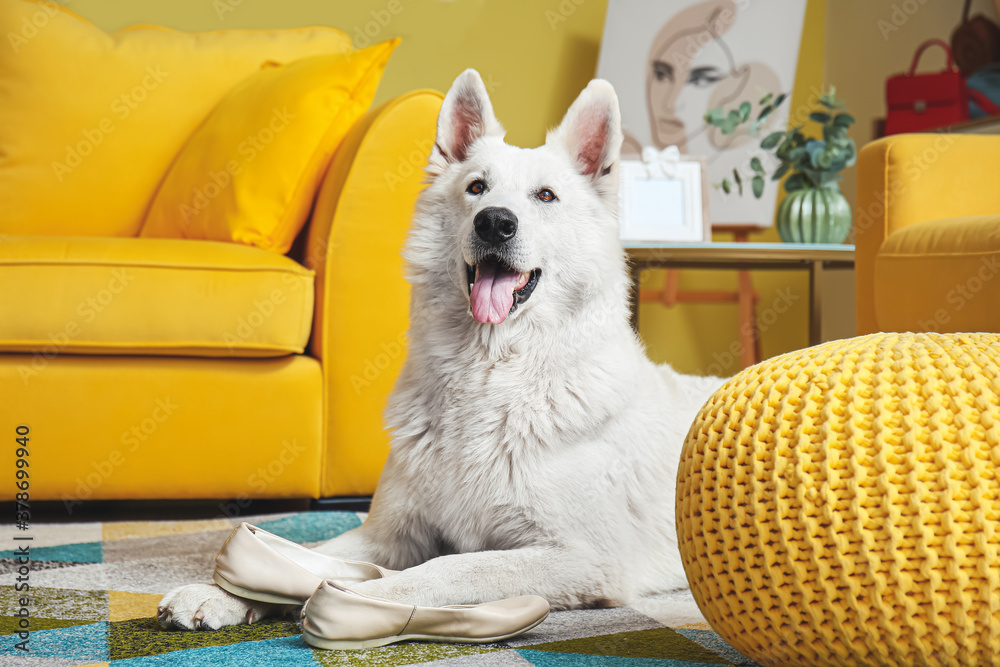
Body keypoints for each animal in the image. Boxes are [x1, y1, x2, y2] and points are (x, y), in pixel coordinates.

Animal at [158, 69, 720, 632]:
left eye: (545, 195)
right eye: (476, 188)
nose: (495, 222)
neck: (488, 375)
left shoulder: (580, 557)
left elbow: (448, 568)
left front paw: (361, 600)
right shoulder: (386, 532)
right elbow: (305, 551)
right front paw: (221, 591)